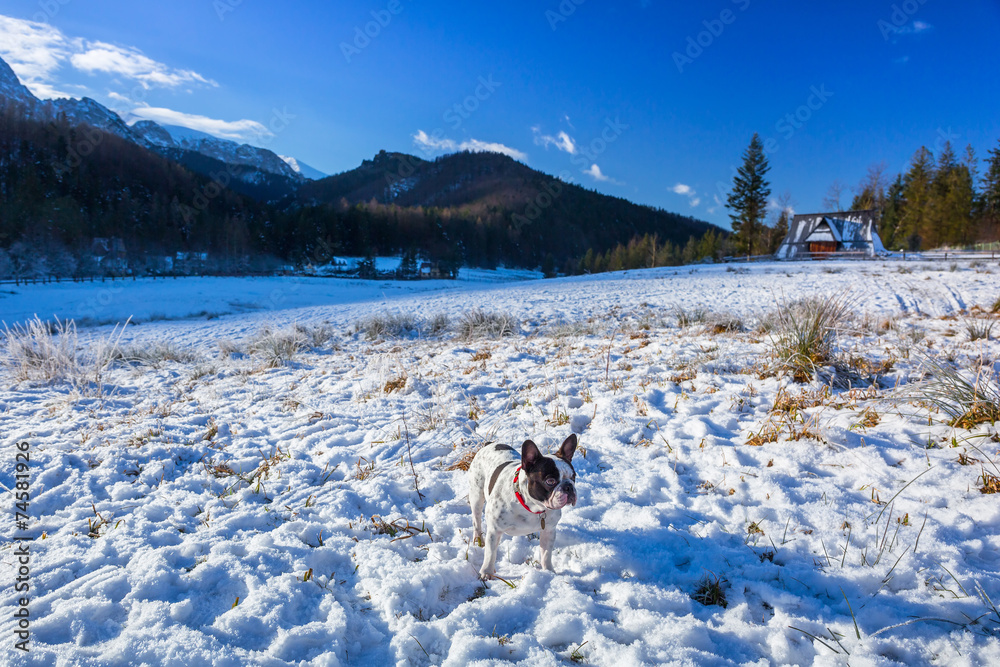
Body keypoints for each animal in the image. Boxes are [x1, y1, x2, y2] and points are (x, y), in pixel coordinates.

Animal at [468, 436, 580, 576]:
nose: (569, 486)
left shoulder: (549, 531)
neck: (532, 506)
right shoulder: (494, 530)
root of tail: (489, 444)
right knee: (476, 519)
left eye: (573, 477)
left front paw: (548, 571)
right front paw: (487, 572)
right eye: (550, 481)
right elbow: (490, 553)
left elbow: (546, 554)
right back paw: (479, 539)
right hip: (477, 495)